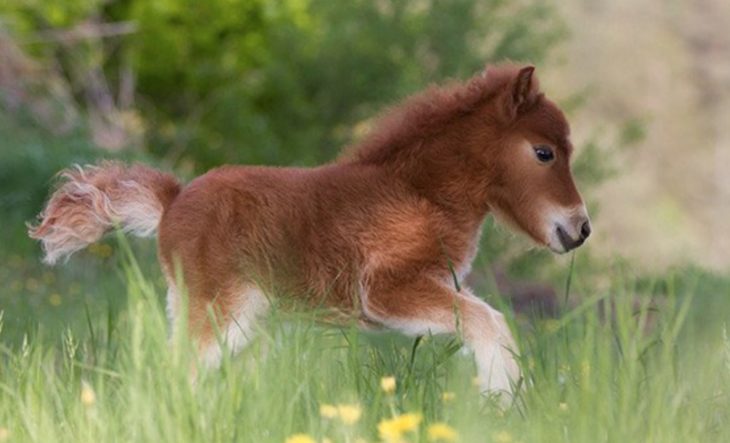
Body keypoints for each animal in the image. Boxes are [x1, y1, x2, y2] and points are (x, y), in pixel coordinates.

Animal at [29, 65, 592, 398]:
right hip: (220, 311)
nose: (580, 228)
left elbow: (489, 319)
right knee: (178, 371)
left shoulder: (437, 282)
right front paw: (503, 400)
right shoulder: (385, 292)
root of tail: (173, 199)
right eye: (544, 152)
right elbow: (488, 320)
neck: (419, 192)